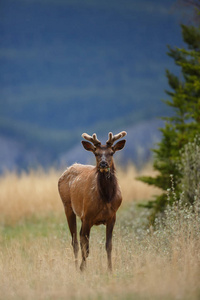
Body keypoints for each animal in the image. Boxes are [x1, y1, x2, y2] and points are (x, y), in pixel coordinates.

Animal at [57, 131, 126, 272]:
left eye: (112, 152)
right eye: (96, 153)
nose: (103, 164)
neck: (106, 198)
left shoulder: (112, 216)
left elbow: (109, 246)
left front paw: (110, 270)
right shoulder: (87, 215)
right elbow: (86, 247)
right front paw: (82, 269)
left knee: (79, 238)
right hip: (68, 206)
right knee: (75, 241)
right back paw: (76, 266)